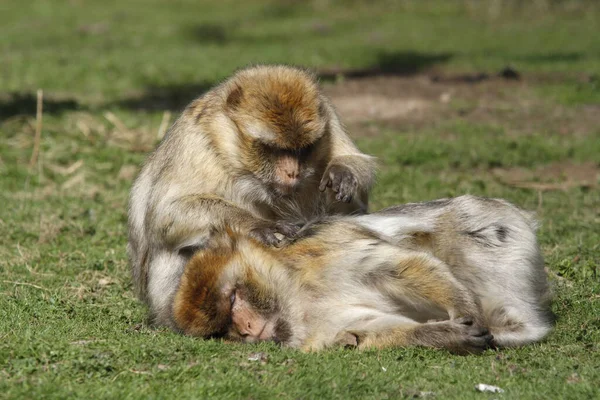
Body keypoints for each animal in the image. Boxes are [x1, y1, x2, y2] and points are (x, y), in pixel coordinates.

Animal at [129, 65, 378, 326]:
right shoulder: (195, 143)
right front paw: (256, 224)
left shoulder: (328, 115)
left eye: (303, 149)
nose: (292, 172)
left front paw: (343, 171)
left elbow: (356, 168)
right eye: (273, 149)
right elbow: (165, 214)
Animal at [169, 195, 552, 354]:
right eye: (223, 329)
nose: (247, 329)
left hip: (497, 239)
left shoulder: (322, 253)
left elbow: (398, 267)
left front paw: (465, 313)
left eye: (233, 298)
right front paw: (447, 335)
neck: (298, 298)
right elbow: (364, 331)